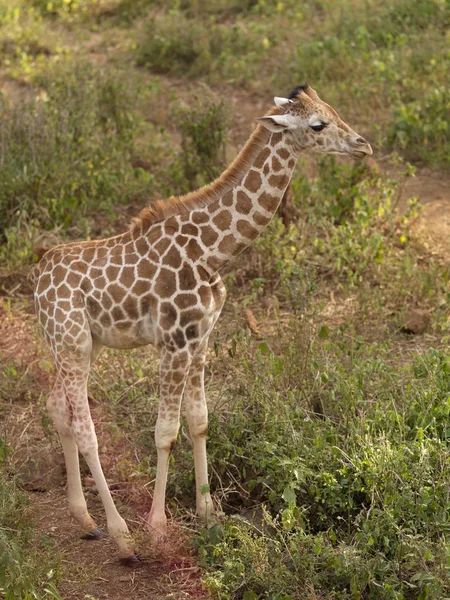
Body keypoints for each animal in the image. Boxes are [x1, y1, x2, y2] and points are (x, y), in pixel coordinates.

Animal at [29, 83, 372, 564]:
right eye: (318, 124)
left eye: (333, 109)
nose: (363, 145)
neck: (214, 251)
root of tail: (37, 276)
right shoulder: (174, 342)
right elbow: (165, 433)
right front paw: (157, 527)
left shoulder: (201, 338)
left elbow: (199, 421)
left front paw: (209, 514)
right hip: (73, 342)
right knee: (85, 428)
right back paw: (122, 536)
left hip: (76, 344)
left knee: (58, 409)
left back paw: (85, 519)